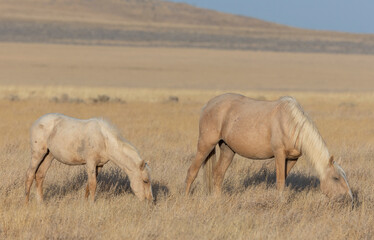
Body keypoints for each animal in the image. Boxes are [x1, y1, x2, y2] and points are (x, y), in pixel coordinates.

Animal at [25, 113, 153, 203]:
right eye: (145, 181)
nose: (150, 201)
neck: (104, 140)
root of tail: (37, 121)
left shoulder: (99, 165)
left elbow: (89, 185)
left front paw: (86, 202)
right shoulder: (90, 163)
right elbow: (93, 184)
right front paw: (91, 204)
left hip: (49, 156)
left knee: (40, 175)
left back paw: (41, 202)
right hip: (38, 154)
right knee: (30, 175)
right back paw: (26, 202)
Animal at [187, 94, 354, 201]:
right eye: (336, 178)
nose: (350, 200)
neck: (291, 124)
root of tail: (207, 105)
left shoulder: (292, 158)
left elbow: (283, 179)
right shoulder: (279, 154)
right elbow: (280, 181)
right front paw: (280, 202)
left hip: (228, 150)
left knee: (218, 174)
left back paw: (217, 199)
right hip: (205, 145)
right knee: (192, 171)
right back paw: (186, 197)